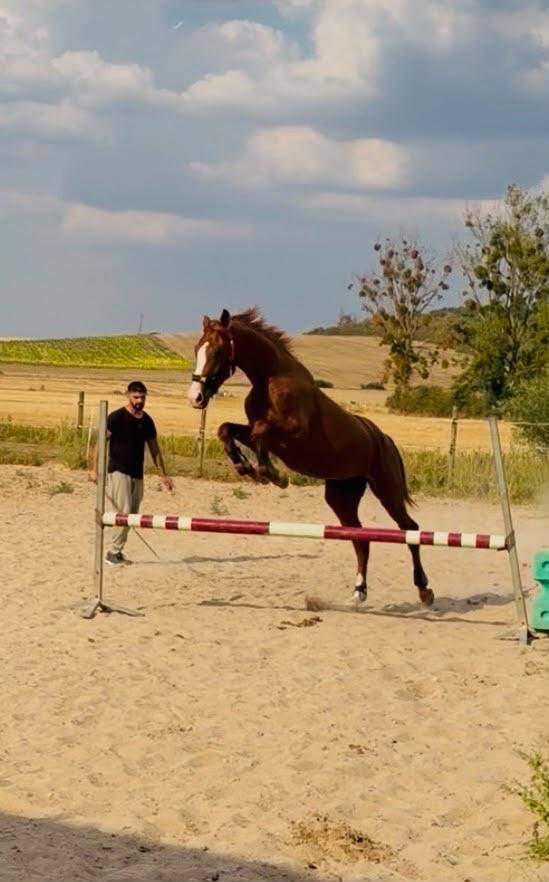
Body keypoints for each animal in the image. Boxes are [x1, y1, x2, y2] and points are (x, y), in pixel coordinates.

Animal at [187, 307, 433, 607]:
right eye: (197, 348)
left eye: (219, 351)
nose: (195, 397)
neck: (270, 379)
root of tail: (384, 439)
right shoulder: (259, 432)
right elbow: (228, 429)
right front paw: (245, 466)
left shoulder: (294, 434)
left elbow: (260, 431)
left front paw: (271, 474)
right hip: (341, 496)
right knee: (360, 538)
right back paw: (359, 591)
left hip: (388, 491)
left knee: (410, 529)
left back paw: (424, 589)